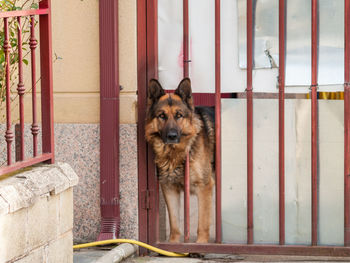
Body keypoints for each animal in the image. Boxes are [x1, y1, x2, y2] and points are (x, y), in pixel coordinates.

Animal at [146, 78, 216, 243]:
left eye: (179, 115)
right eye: (162, 116)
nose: (172, 136)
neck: (175, 154)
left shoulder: (205, 187)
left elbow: (202, 223)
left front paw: (201, 244)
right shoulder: (169, 188)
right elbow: (175, 223)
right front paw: (174, 243)